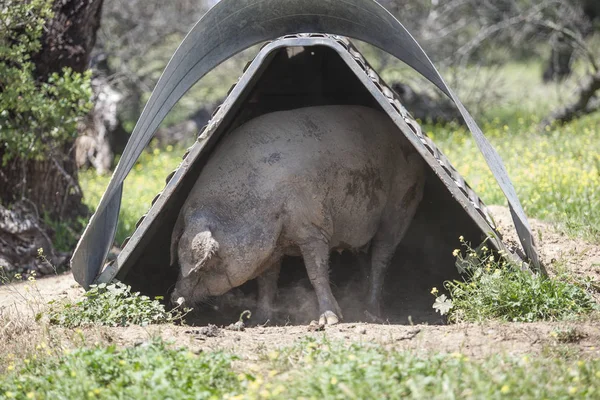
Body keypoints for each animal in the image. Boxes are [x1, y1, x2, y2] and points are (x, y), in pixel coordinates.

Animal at [169, 104, 426, 324]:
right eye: (178, 259)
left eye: (203, 266)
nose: (174, 298)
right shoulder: (270, 247)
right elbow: (267, 281)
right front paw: (259, 320)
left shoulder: (313, 228)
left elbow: (316, 273)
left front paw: (329, 321)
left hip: (402, 203)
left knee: (382, 255)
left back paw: (372, 312)